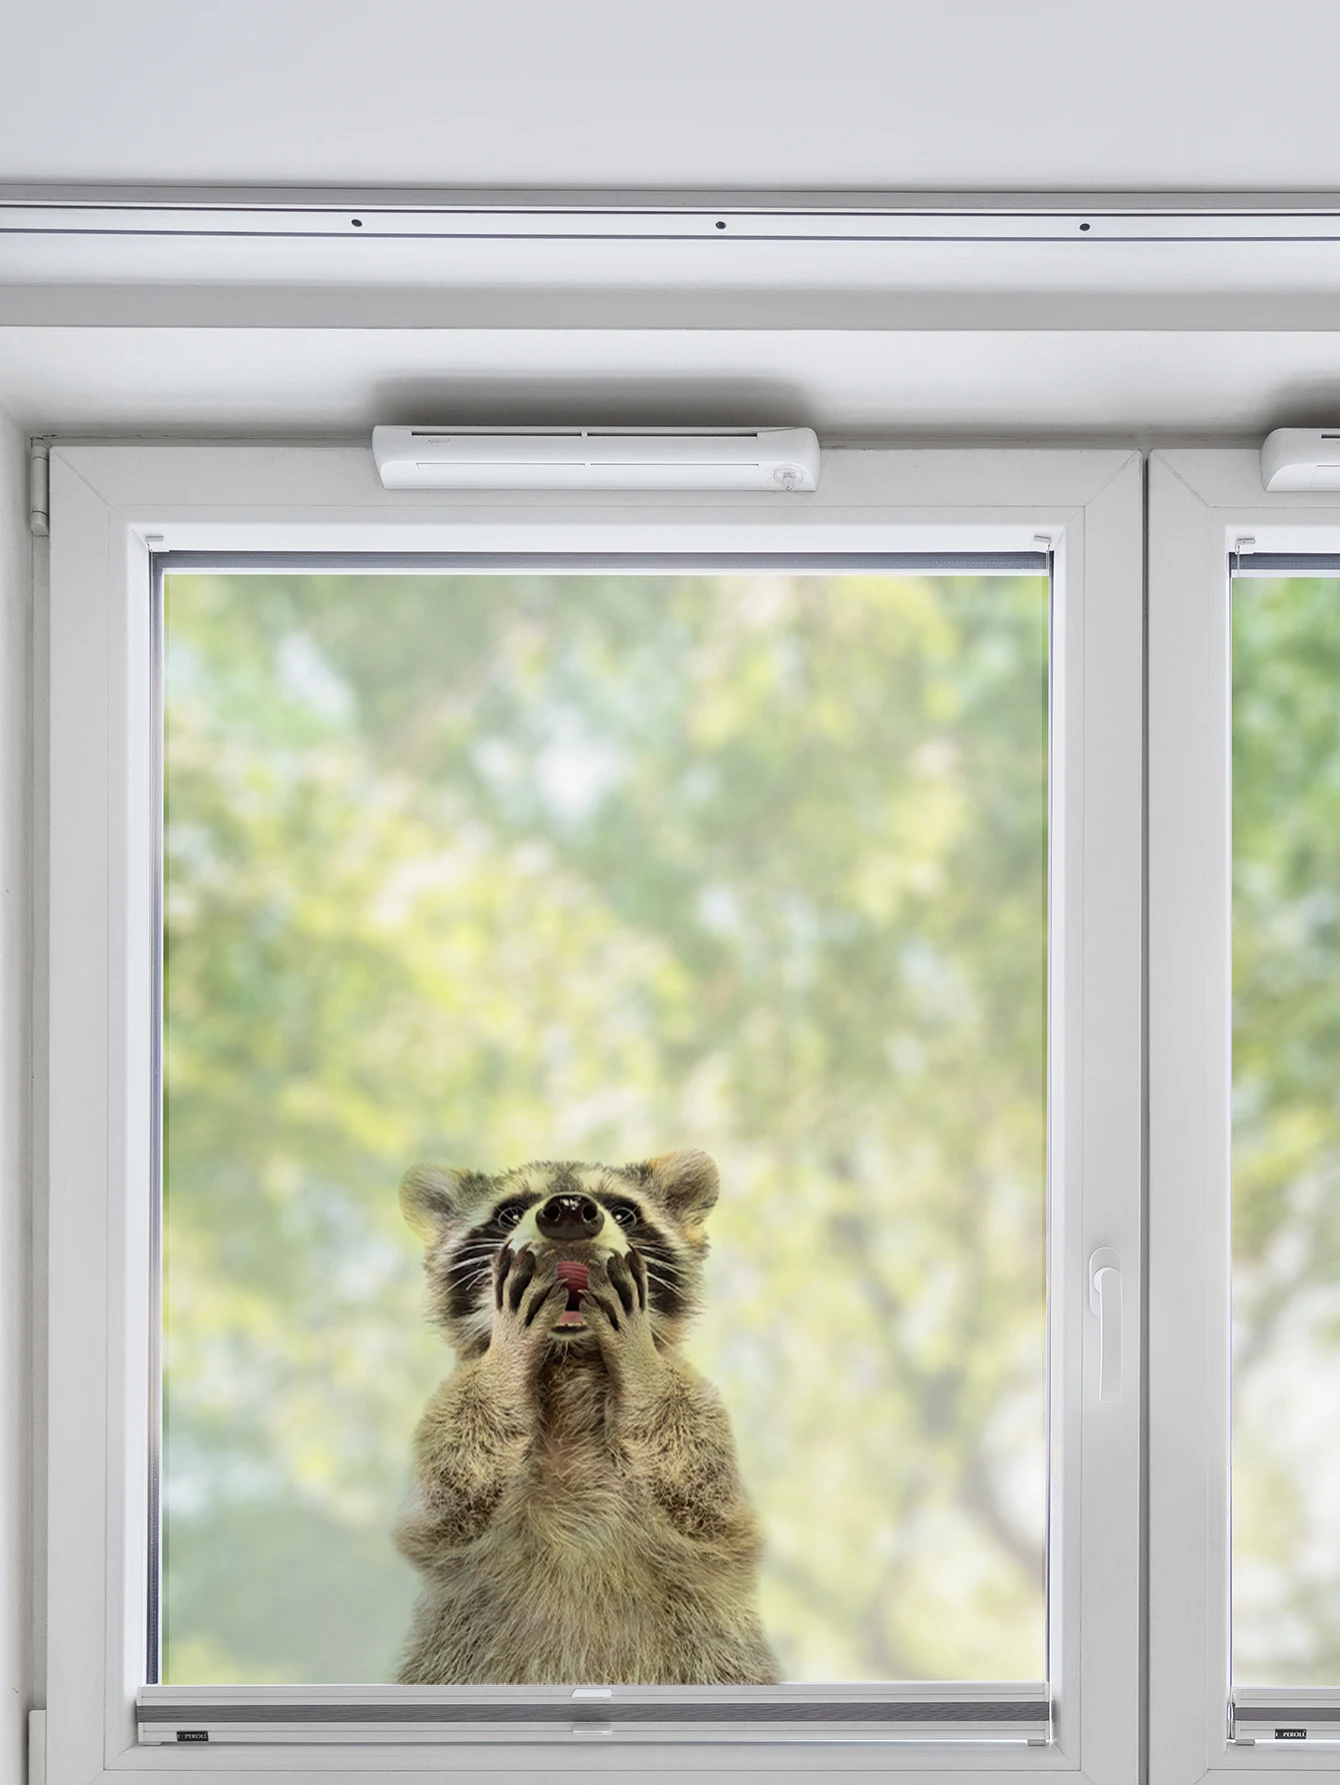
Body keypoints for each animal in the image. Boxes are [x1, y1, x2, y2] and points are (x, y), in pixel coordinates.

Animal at [394, 1148, 780, 1686]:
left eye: (623, 1211)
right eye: (510, 1212)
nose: (572, 1210)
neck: (570, 1358)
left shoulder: (714, 1487)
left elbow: (700, 1490)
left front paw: (638, 1357)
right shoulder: (443, 1482)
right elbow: (455, 1495)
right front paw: (507, 1355)